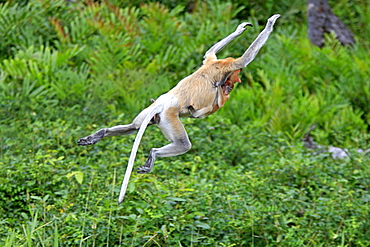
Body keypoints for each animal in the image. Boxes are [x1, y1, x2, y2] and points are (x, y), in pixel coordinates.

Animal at [79, 14, 280, 203]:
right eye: (236, 76)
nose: (234, 83)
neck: (218, 68)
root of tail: (164, 102)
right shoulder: (227, 66)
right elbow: (245, 59)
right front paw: (270, 23)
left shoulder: (211, 61)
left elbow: (210, 51)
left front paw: (240, 29)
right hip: (170, 116)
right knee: (183, 144)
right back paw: (152, 155)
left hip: (150, 111)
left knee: (133, 127)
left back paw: (98, 135)